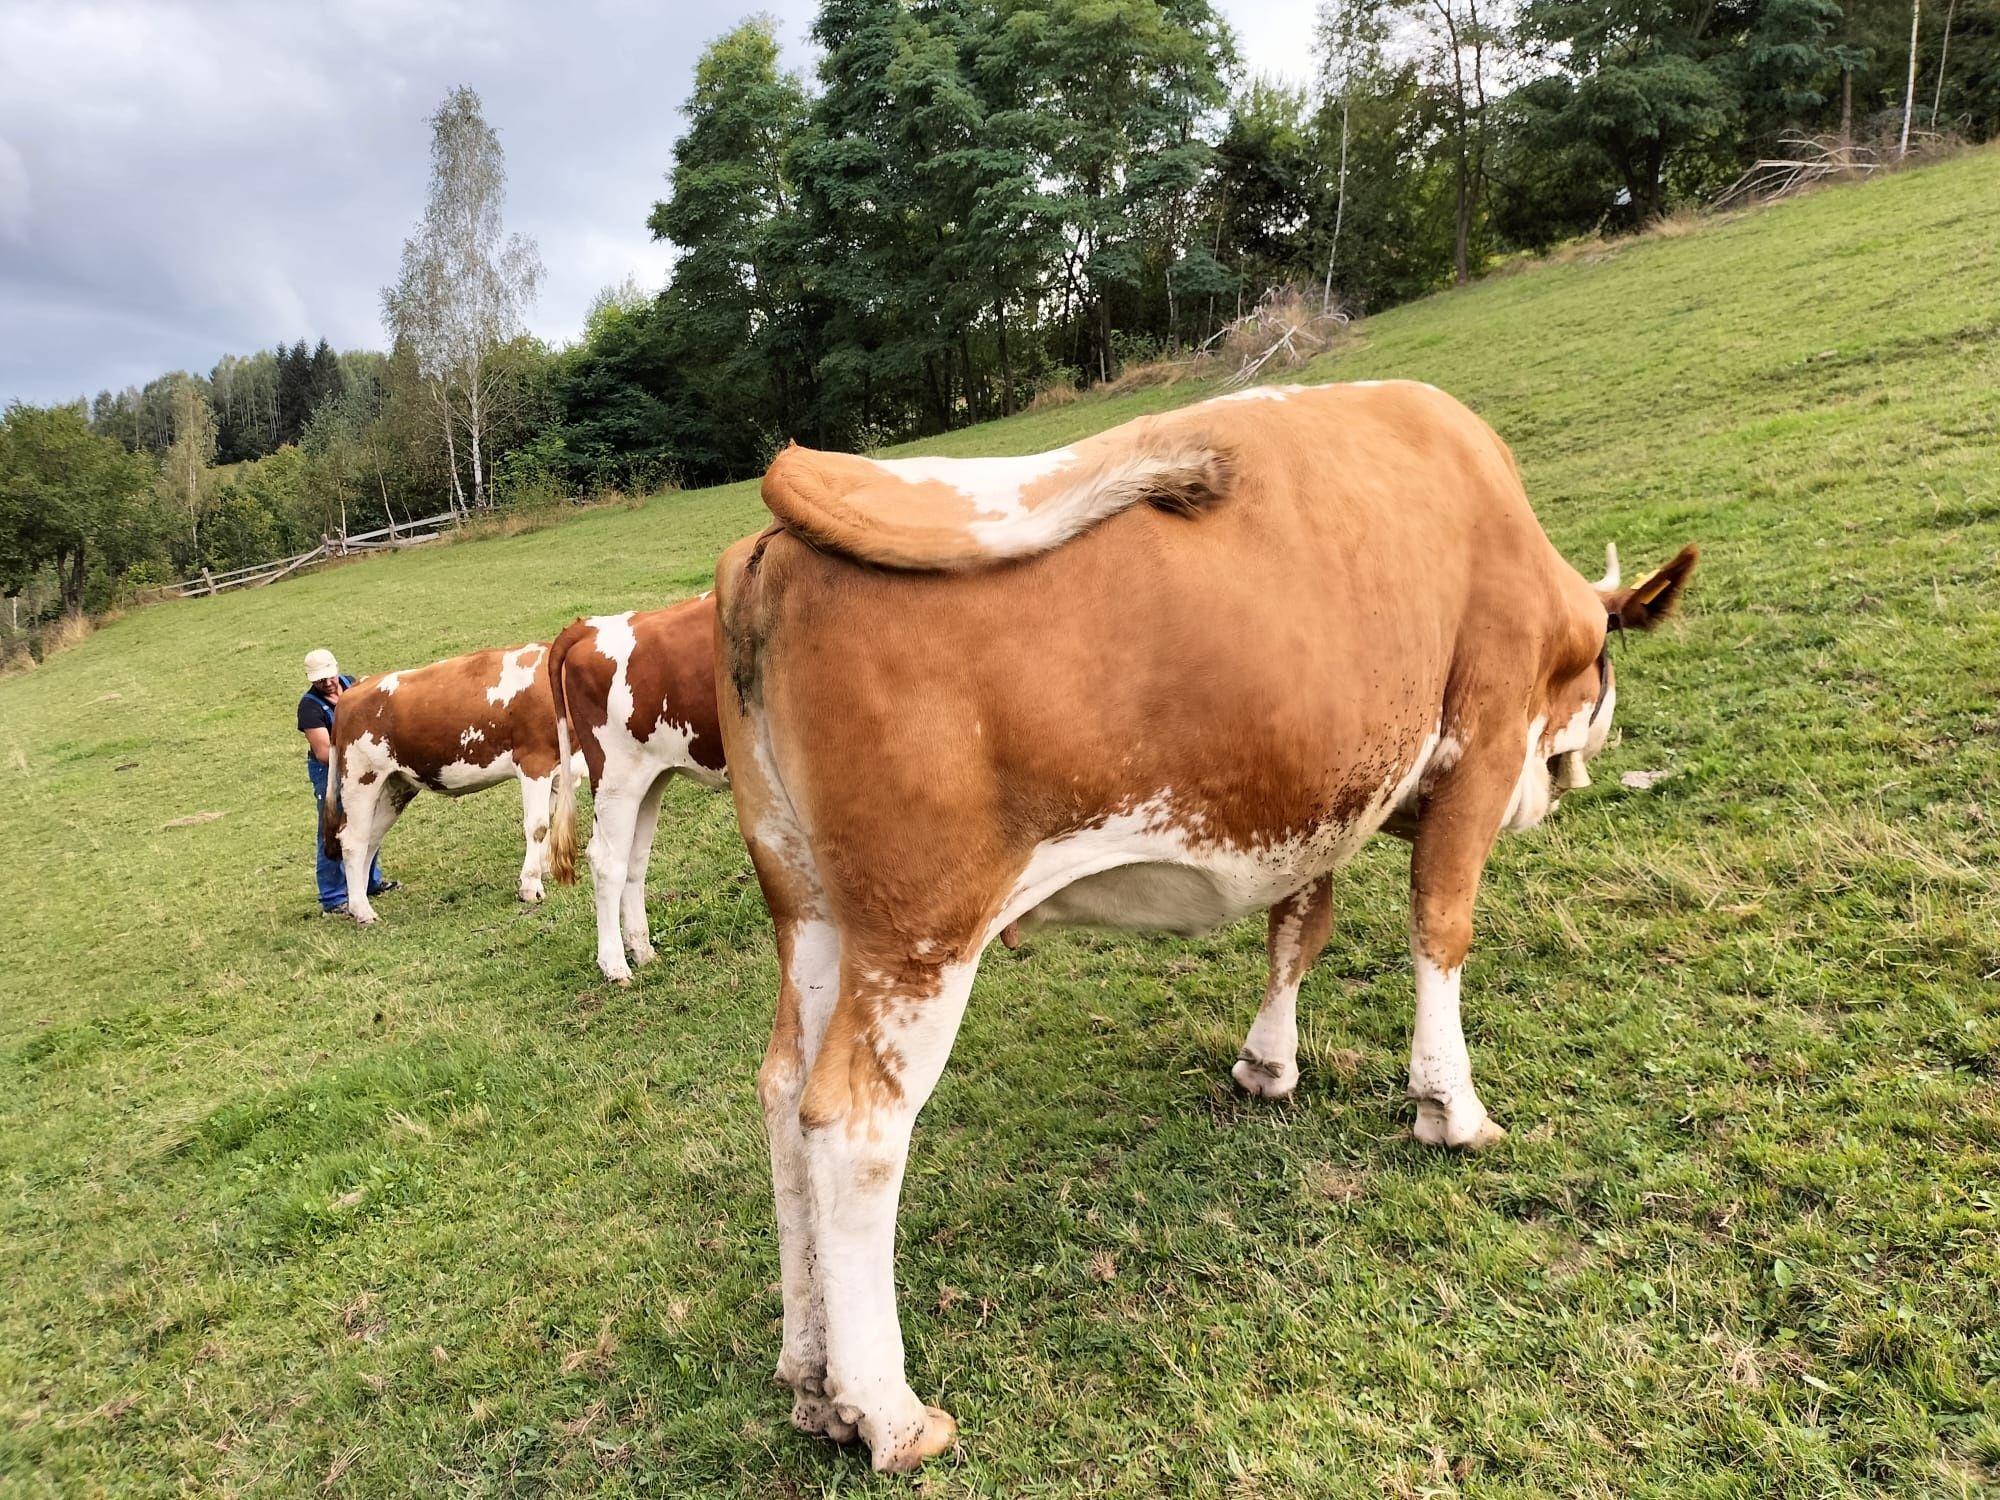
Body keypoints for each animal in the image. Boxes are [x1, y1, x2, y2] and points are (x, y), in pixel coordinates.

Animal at [320, 640, 584, 924]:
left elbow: (549, 818)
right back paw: (362, 910)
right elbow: (538, 825)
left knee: (371, 838)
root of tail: (356, 688)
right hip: (361, 778)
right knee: (353, 840)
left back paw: (359, 902)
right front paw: (530, 886)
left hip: (395, 786)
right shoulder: (534, 761)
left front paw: (543, 871)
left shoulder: (560, 770)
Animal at [548, 600, 728, 988]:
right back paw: (615, 965)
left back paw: (641, 949)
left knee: (634, 859)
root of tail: (591, 626)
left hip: (650, 780)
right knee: (607, 862)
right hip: (617, 780)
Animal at [712, 382, 1696, 1472]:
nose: (1581, 762)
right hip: (919, 932)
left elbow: (1298, 929)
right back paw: (886, 1412)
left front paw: (1267, 1066)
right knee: (854, 1124)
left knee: (781, 1092)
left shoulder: (1322, 799)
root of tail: (778, 532)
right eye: (1603, 664)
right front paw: (1451, 1109)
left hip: (810, 911)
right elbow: (1441, 930)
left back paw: (811, 1376)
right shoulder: (1476, 752)